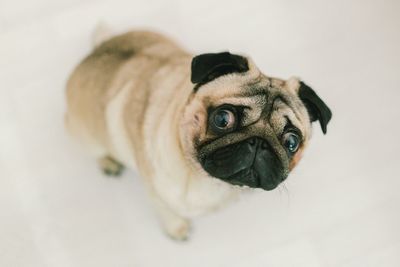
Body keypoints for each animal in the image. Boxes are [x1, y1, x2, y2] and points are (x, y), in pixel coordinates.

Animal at [65, 29, 332, 241]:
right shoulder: (158, 194)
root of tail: (97, 48)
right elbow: (168, 213)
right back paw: (108, 161)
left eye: (291, 142)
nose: (258, 143)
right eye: (223, 119)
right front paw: (177, 229)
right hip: (86, 136)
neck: (210, 181)